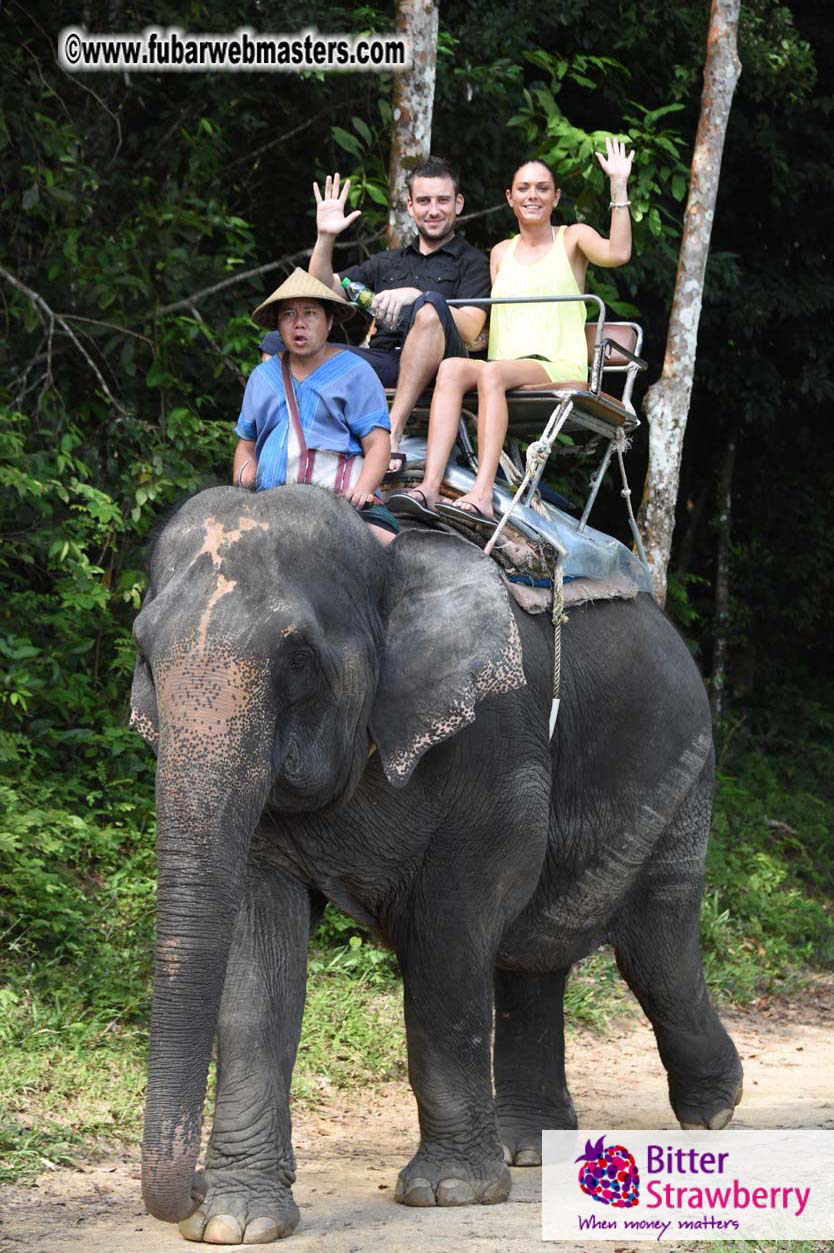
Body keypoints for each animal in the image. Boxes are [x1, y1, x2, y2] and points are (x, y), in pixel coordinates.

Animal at [129, 483, 742, 1244]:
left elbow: (449, 934)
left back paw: (715, 1112)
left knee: (655, 946)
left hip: (681, 771)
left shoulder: (495, 746)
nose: (189, 1187)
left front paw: (449, 1192)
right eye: (143, 651)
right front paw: (233, 1222)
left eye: (297, 658)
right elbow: (257, 961)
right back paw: (532, 1146)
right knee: (534, 957)